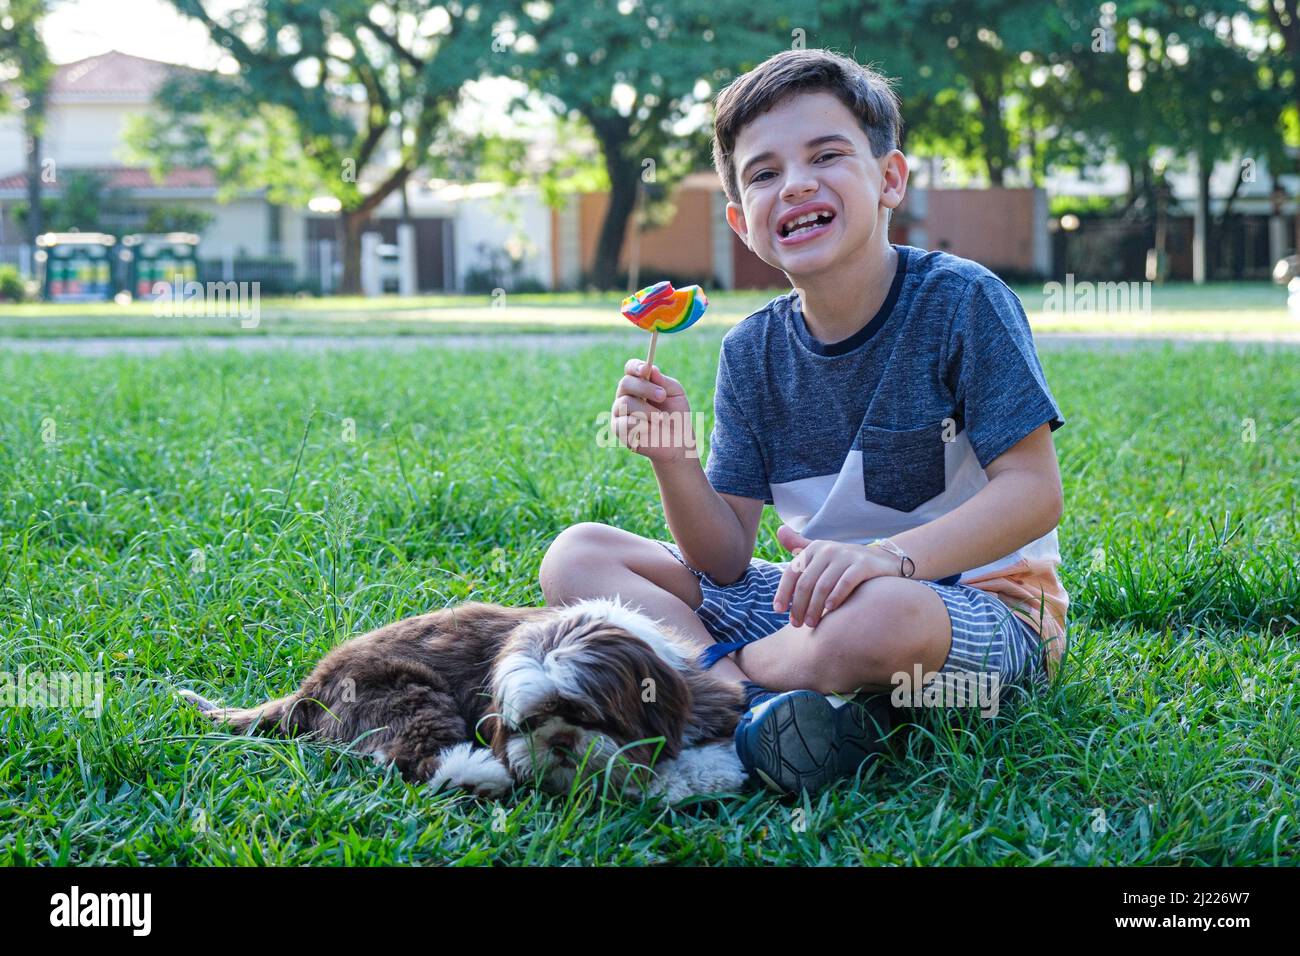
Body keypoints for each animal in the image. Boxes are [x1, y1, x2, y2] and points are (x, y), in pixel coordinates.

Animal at [183, 600, 754, 806]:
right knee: (418, 758)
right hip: (407, 691)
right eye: (531, 722)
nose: (559, 741)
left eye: (587, 716)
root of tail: (311, 686)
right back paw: (479, 775)